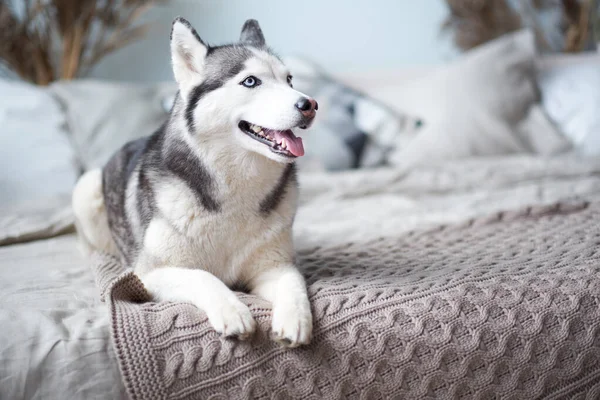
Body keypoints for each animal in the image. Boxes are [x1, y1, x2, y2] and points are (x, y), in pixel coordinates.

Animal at [72, 17, 318, 346]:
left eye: (289, 79)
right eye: (251, 81)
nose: (310, 104)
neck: (235, 188)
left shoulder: (274, 266)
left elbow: (294, 283)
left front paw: (295, 318)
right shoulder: (150, 275)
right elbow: (204, 277)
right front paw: (233, 310)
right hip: (86, 187)